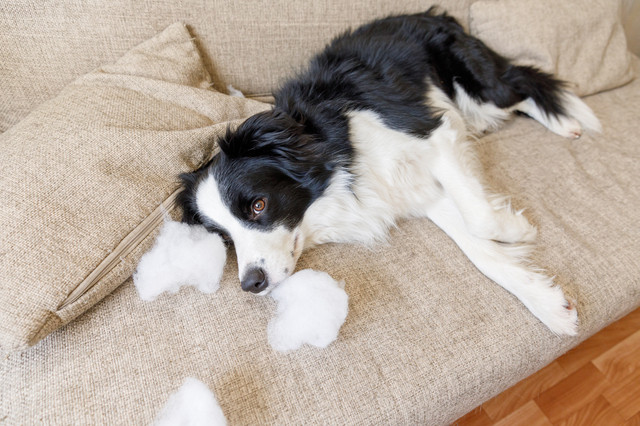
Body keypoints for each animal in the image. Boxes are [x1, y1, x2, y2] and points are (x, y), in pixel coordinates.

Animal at [176, 9, 600, 336]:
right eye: (225, 238)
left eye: (258, 206)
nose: (251, 284)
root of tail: (430, 13)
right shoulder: (415, 189)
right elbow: (480, 249)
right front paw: (548, 304)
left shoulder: (432, 132)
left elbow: (482, 221)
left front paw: (517, 229)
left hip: (475, 89)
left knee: (524, 82)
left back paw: (568, 122)